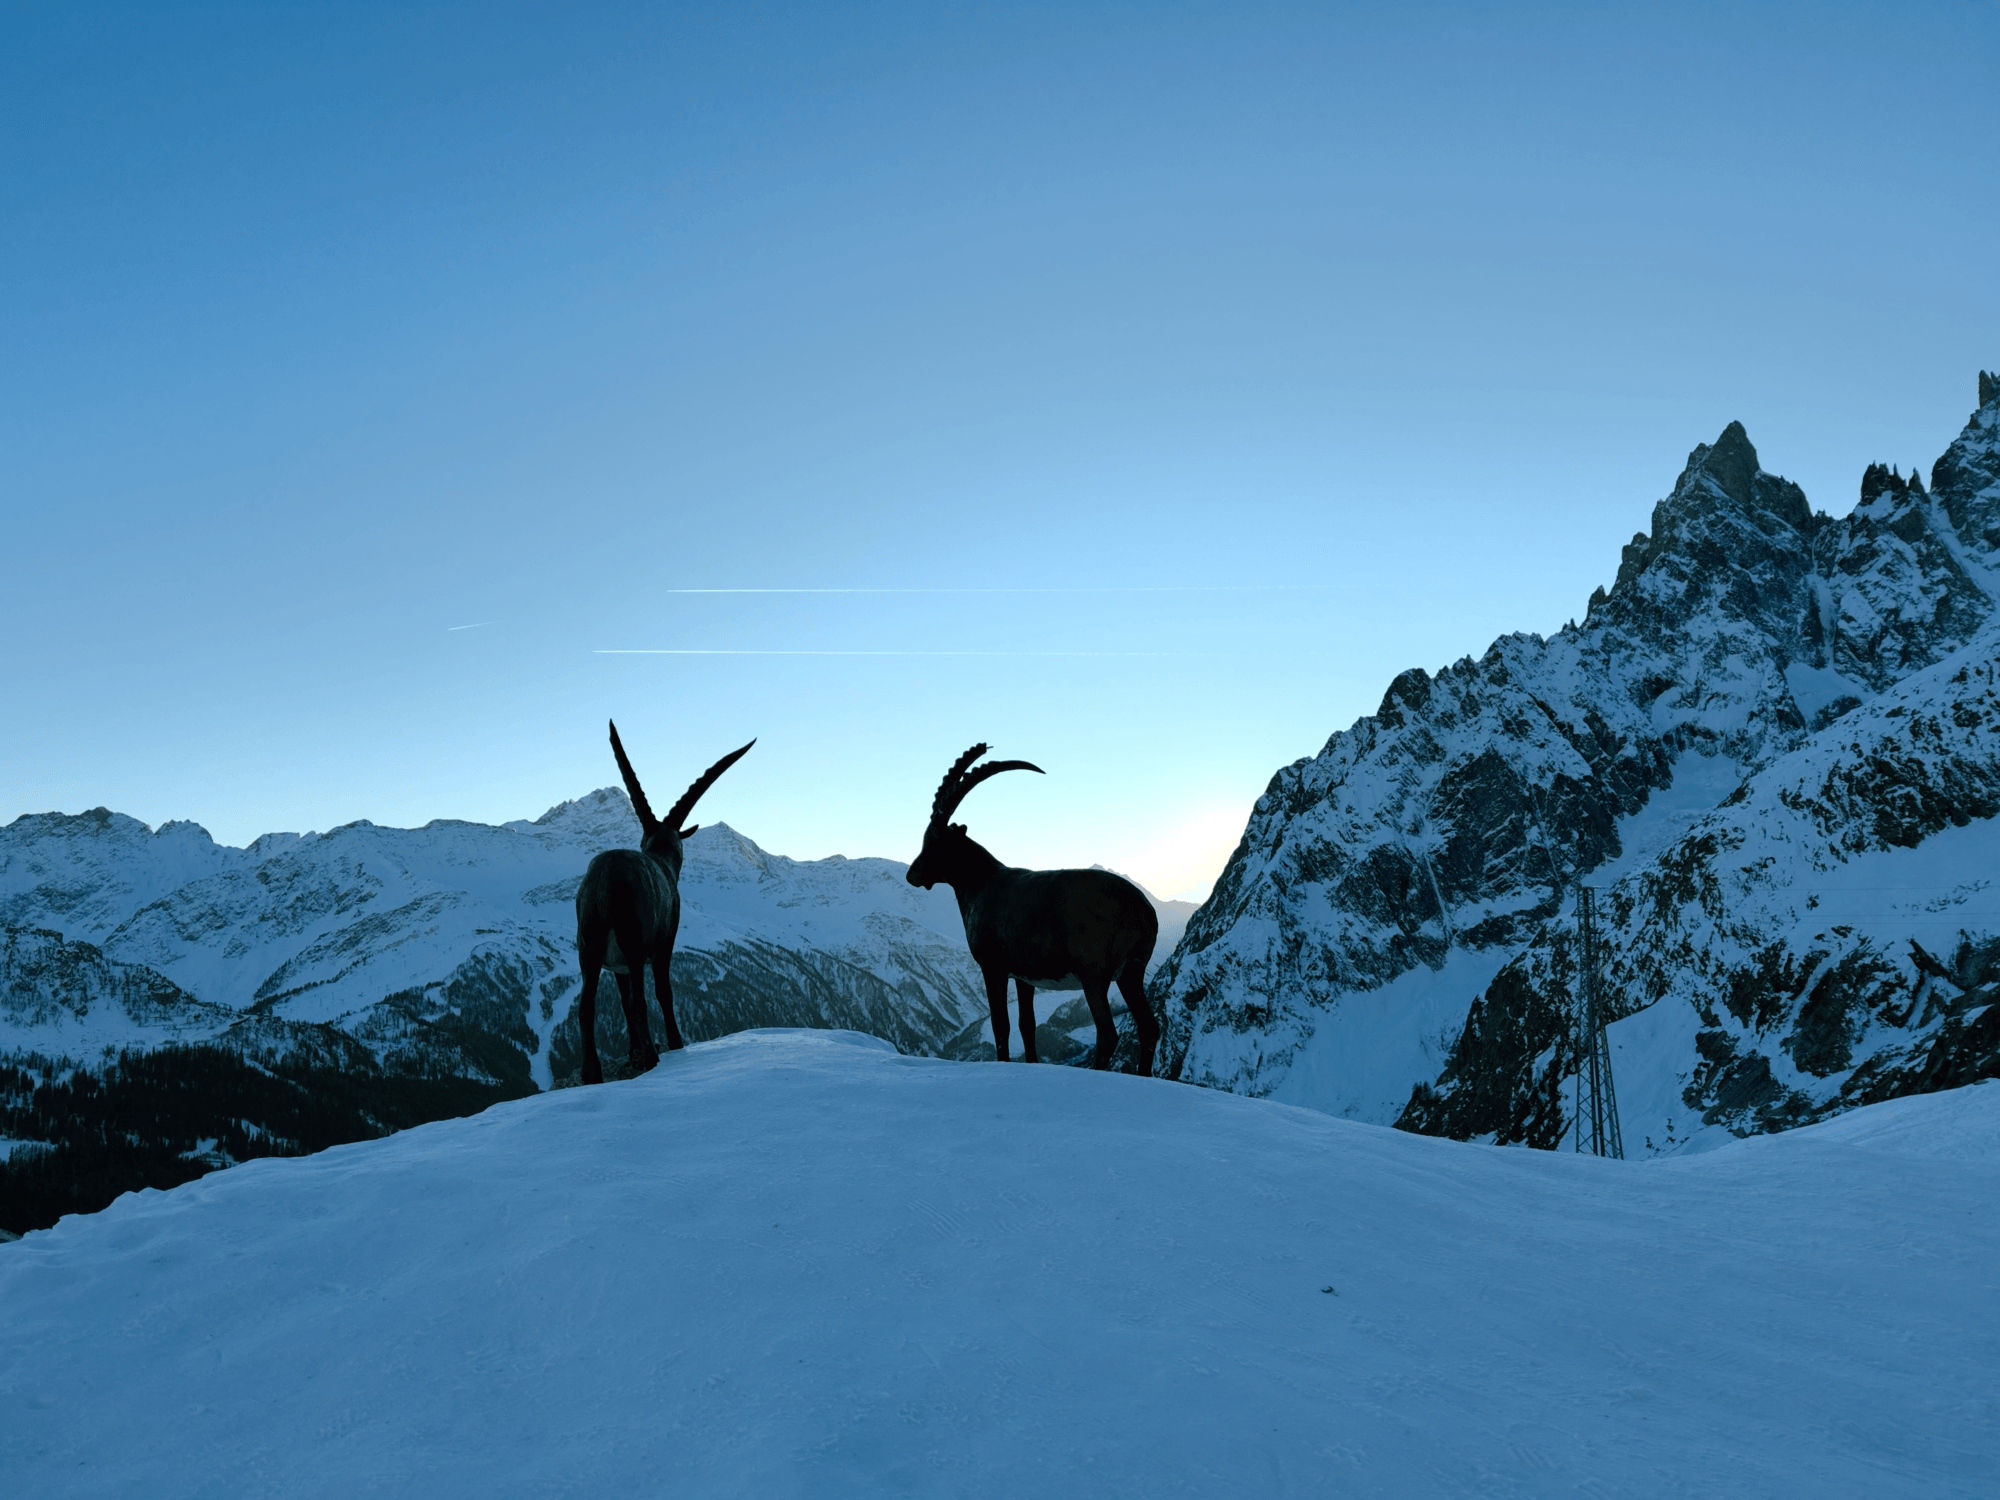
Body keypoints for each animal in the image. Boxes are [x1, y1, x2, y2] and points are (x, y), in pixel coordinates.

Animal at [573, 722, 753, 1085]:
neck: (661, 859)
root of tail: (604, 881)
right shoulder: (665, 941)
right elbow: (663, 992)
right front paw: (675, 1043)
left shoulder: (617, 965)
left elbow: (622, 1001)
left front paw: (633, 1052)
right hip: (633, 941)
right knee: (640, 1001)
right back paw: (652, 1059)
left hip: (590, 943)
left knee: (588, 1006)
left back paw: (592, 1073)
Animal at [906, 744, 1160, 1074]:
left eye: (934, 841)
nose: (912, 875)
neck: (981, 884)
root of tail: (1142, 910)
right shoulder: (1023, 976)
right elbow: (1027, 1025)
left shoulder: (993, 967)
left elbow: (1001, 1024)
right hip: (1132, 971)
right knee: (1149, 1027)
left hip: (1094, 974)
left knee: (1107, 1033)